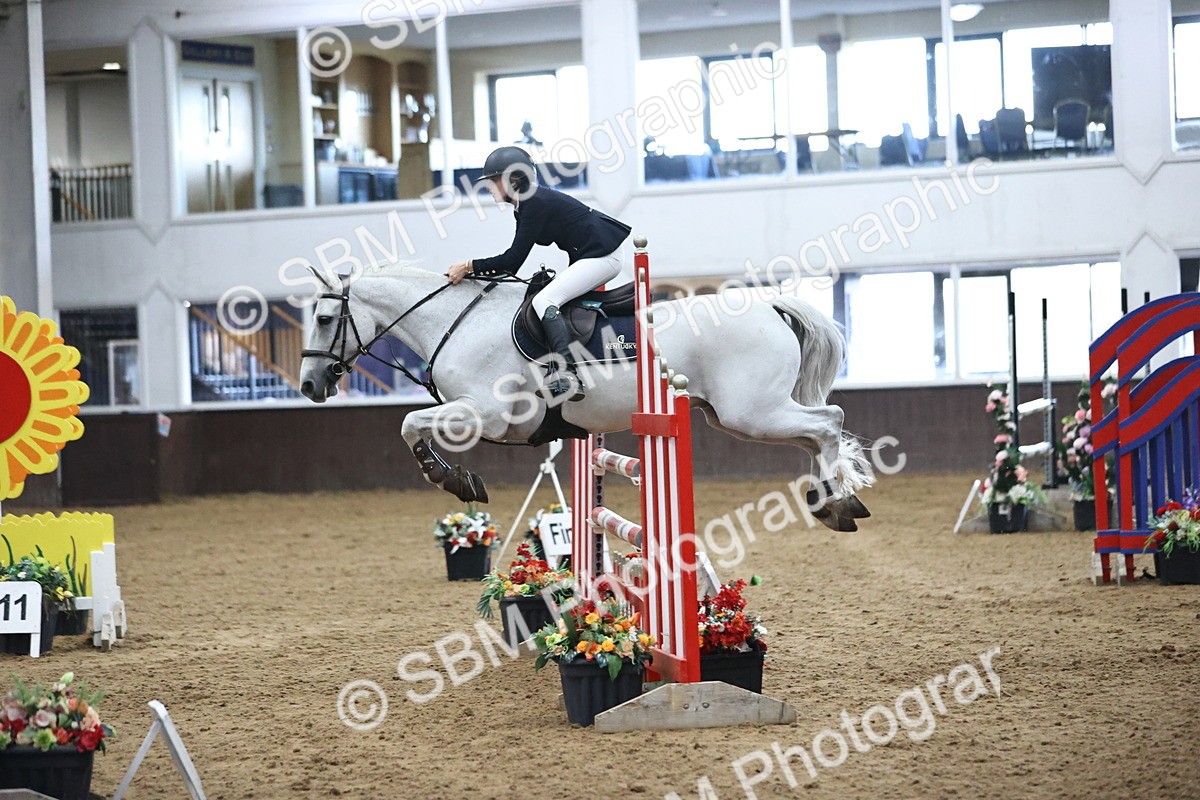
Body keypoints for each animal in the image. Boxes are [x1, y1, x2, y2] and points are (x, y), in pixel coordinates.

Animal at [298, 263, 874, 531]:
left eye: (324, 318)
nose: (308, 385)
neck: (455, 321)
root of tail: (770, 305)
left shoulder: (486, 412)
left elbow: (410, 424)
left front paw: (453, 479)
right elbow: (411, 425)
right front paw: (457, 478)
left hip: (751, 413)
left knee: (828, 421)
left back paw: (836, 504)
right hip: (737, 415)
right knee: (816, 433)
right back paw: (833, 500)